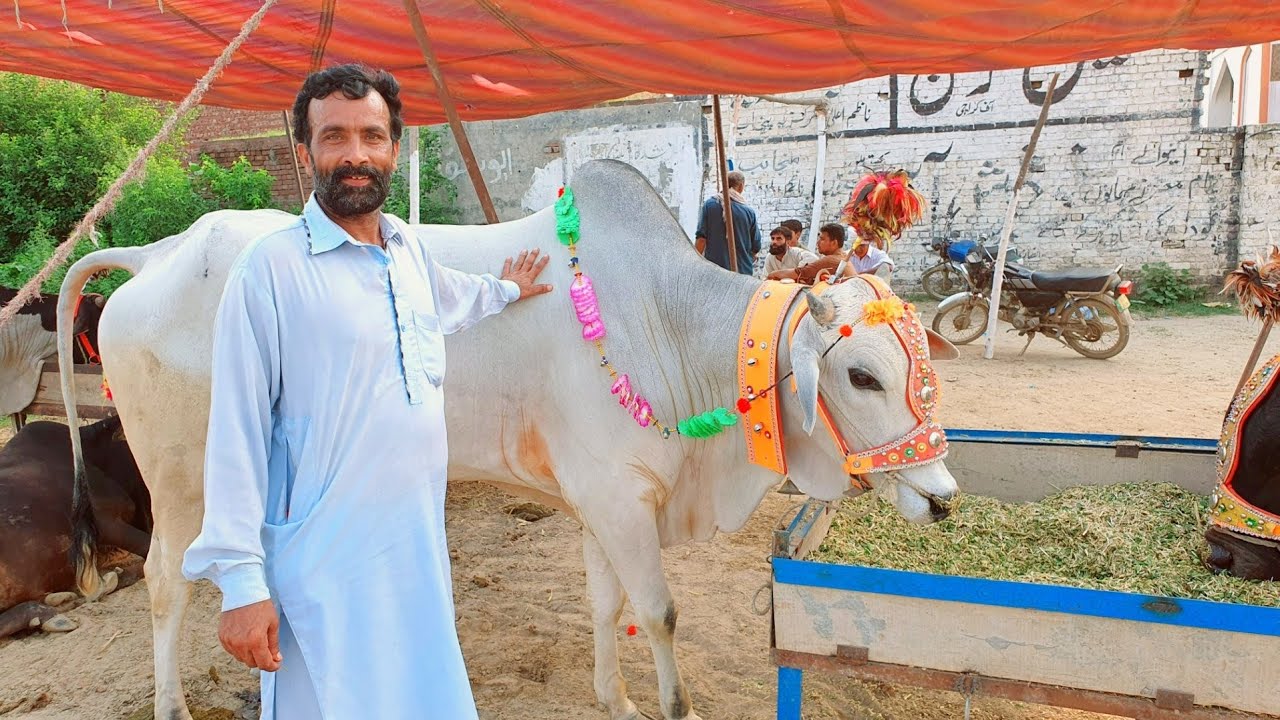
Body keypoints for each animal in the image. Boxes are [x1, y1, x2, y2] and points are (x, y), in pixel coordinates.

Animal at [54, 160, 960, 720]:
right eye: (862, 376)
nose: (944, 498)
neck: (669, 324)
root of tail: (162, 253)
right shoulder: (622, 501)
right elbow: (660, 612)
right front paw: (672, 704)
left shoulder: (602, 503)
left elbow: (609, 607)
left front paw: (614, 699)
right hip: (184, 480)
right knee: (165, 584)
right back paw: (175, 702)